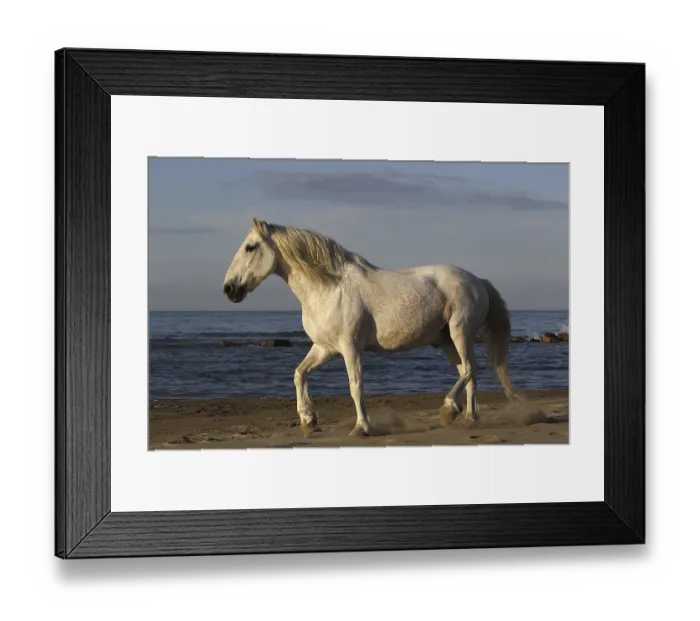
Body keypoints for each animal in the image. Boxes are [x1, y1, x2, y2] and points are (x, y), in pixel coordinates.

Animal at [222, 217, 518, 438]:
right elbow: (299, 374)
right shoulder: (325, 348)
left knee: (470, 369)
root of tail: (477, 280)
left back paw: (449, 410)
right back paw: (468, 417)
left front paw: (361, 428)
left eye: (250, 247)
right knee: (469, 373)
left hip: (460, 333)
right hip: (446, 341)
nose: (229, 289)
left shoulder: (351, 348)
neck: (329, 289)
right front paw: (308, 420)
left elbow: (356, 386)